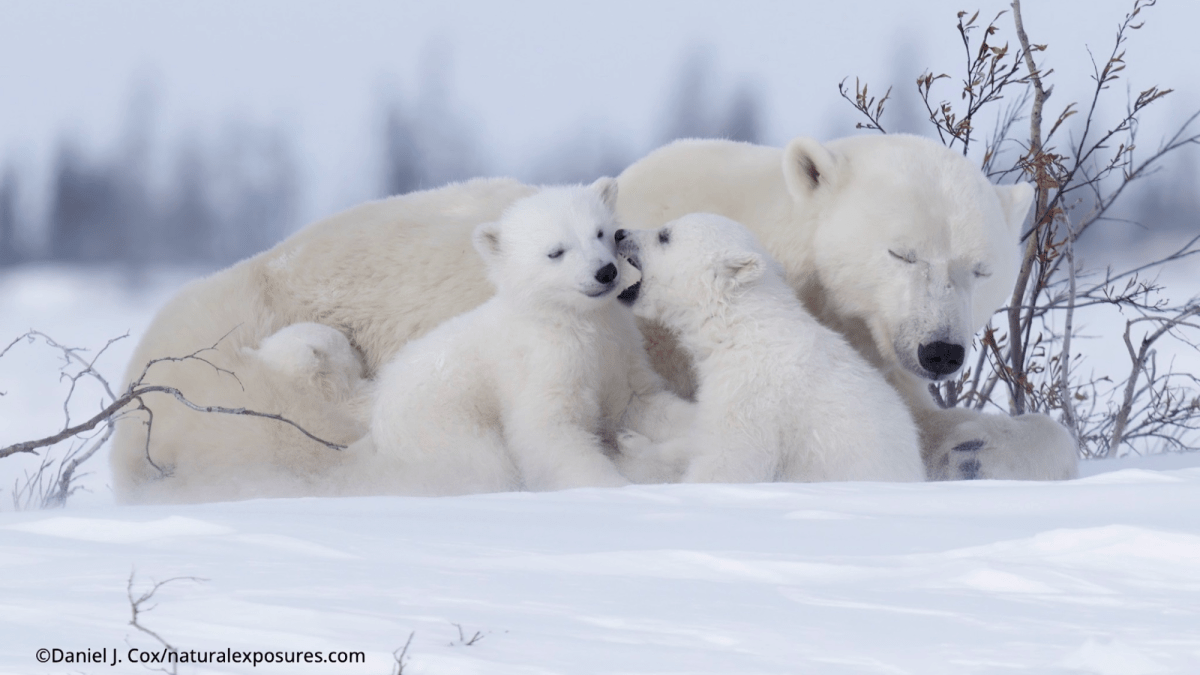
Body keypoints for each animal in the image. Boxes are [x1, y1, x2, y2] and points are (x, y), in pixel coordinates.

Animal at [337, 182, 692, 496]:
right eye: (555, 252)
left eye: (601, 232)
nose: (605, 272)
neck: (567, 319)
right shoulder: (541, 364)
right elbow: (548, 432)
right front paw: (612, 488)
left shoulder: (618, 350)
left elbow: (640, 401)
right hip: (441, 427)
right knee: (482, 465)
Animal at [612, 213, 925, 484]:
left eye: (664, 235)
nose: (619, 233)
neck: (741, 326)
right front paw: (631, 441)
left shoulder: (752, 395)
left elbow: (730, 461)